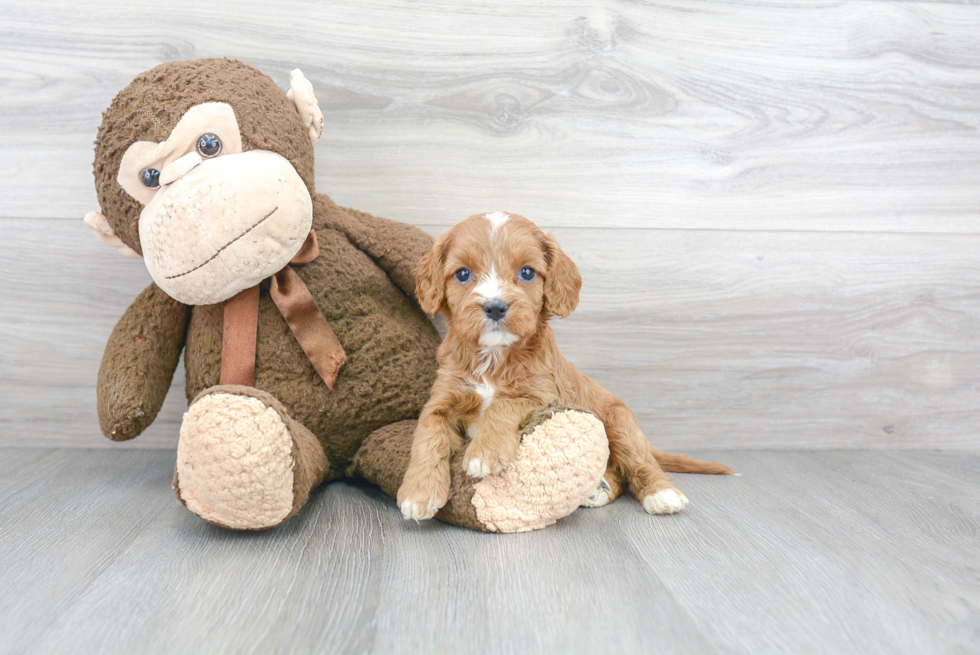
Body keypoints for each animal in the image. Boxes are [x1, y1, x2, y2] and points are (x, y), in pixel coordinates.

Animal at [394, 213, 732, 520]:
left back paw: (662, 494)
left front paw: (484, 452)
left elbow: (503, 404)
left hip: (620, 423)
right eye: (463, 274)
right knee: (618, 473)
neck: (494, 357)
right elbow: (427, 436)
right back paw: (599, 489)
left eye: (527, 272)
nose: (495, 307)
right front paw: (418, 493)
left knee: (641, 463)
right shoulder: (442, 398)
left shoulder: (542, 394)